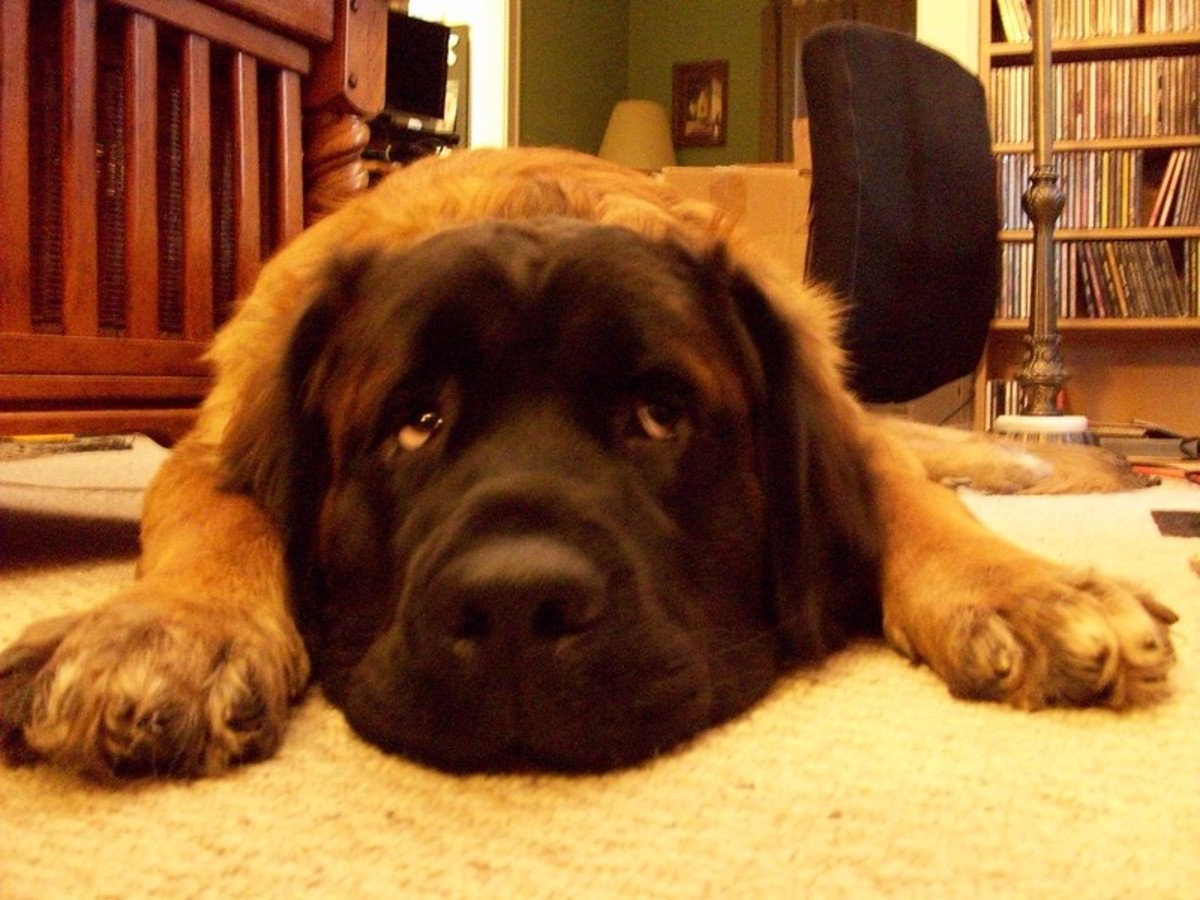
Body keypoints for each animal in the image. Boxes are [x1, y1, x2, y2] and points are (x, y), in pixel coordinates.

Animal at [0, 148, 1180, 777]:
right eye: (413, 424)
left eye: (659, 416)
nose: (516, 609)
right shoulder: (218, 441)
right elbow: (221, 516)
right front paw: (168, 635)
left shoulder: (843, 428)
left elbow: (910, 501)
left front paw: (1029, 592)